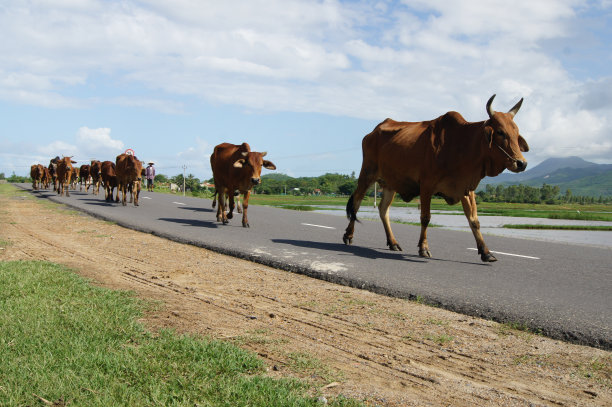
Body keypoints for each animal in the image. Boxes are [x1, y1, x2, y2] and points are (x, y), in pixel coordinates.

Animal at [342, 95, 528, 264]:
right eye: (500, 132)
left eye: (516, 133)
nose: (521, 163)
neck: (461, 144)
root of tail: (372, 132)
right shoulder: (426, 186)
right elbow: (426, 218)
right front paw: (423, 248)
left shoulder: (466, 188)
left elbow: (474, 221)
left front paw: (486, 252)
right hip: (367, 174)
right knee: (356, 203)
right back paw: (348, 235)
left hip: (390, 184)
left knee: (383, 210)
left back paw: (393, 242)